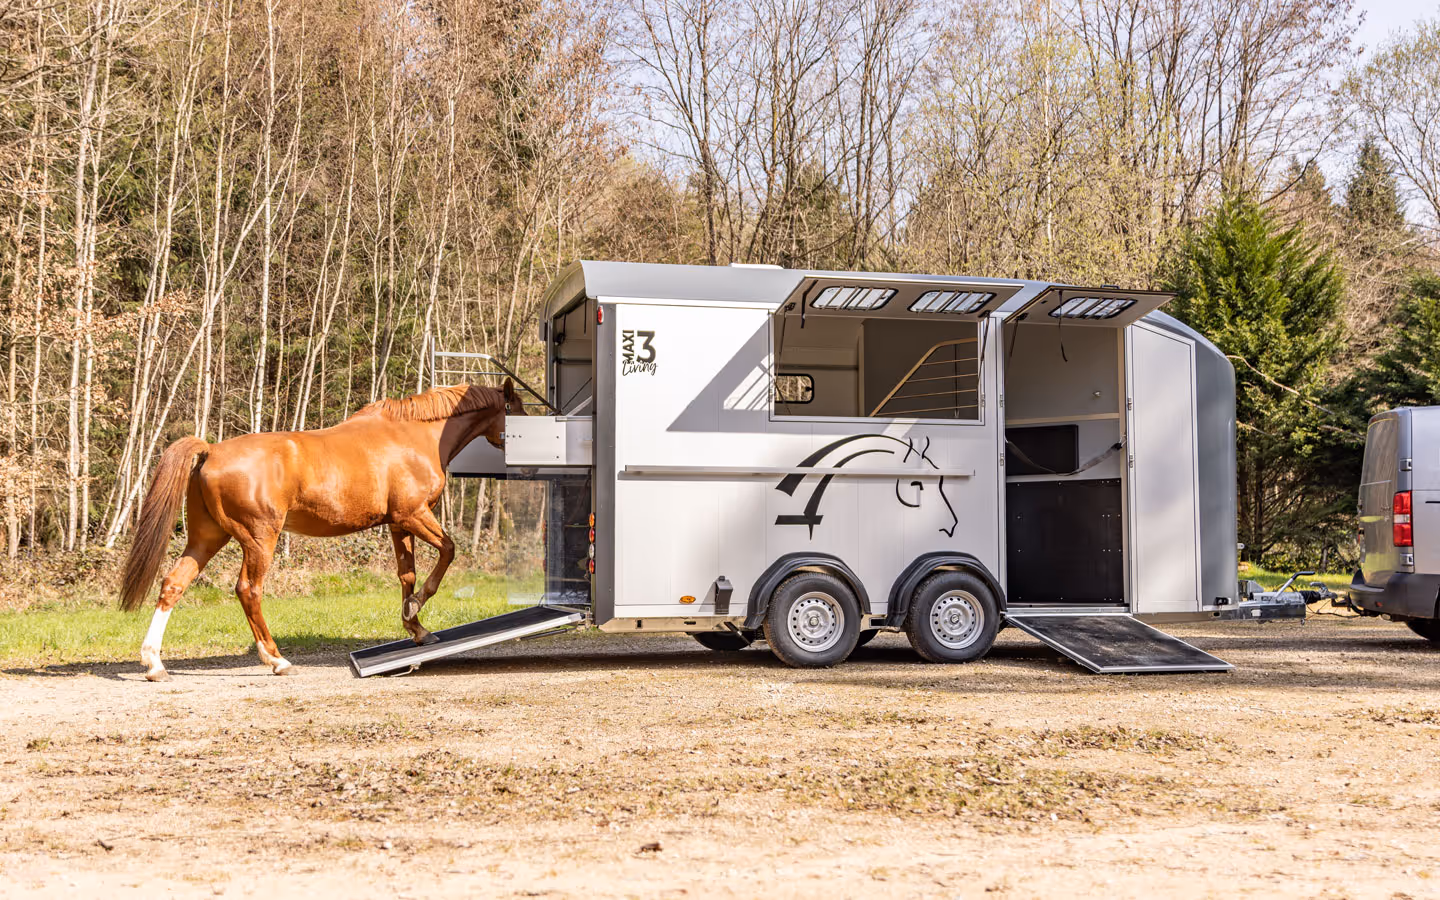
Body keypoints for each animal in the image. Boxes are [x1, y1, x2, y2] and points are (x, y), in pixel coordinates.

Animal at [118, 380, 526, 681]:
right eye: (519, 409)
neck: (414, 436)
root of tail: (210, 450)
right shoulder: (414, 514)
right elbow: (447, 551)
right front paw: (416, 609)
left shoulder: (399, 524)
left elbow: (407, 574)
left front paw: (417, 628)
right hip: (259, 540)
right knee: (249, 590)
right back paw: (277, 660)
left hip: (207, 538)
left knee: (173, 584)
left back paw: (154, 663)